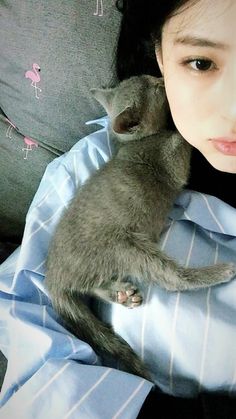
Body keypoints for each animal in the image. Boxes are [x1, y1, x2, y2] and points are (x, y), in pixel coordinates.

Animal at [44, 74, 236, 380]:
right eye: (155, 87)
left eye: (151, 79)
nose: (160, 78)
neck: (135, 142)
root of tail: (53, 277)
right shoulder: (170, 160)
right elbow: (180, 140)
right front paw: (190, 127)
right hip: (126, 244)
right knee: (173, 279)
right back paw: (218, 272)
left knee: (91, 286)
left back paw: (120, 294)